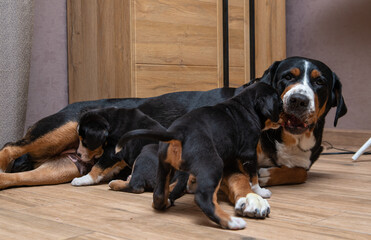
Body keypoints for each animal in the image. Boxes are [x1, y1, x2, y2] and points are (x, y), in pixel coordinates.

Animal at [117, 81, 284, 230]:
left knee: (158, 195)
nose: (286, 115)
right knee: (203, 198)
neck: (246, 105)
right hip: (212, 164)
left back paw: (166, 201)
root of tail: (177, 132)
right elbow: (253, 177)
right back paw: (232, 222)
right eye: (279, 103)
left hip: (164, 167)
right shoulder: (249, 153)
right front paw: (260, 191)